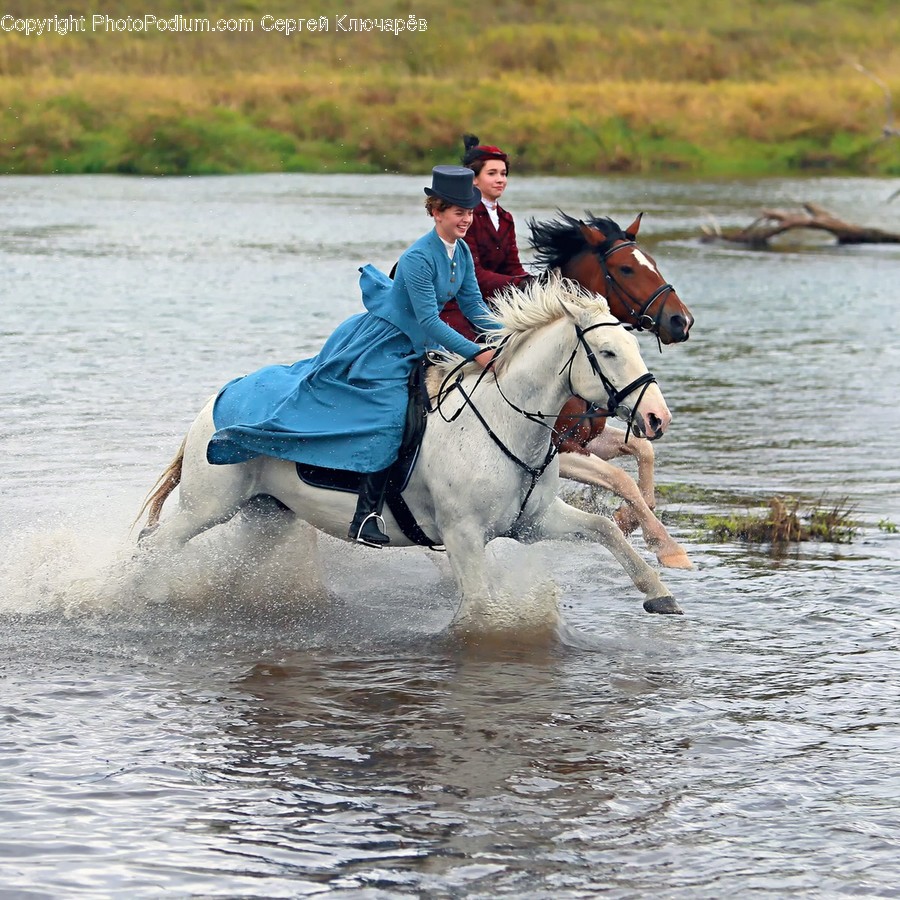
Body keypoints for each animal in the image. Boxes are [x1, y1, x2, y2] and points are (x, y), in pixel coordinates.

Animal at [137, 278, 684, 633]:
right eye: (607, 352)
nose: (657, 417)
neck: (501, 423)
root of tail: (214, 403)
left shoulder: (533, 521)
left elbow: (605, 529)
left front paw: (659, 591)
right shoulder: (463, 536)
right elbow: (479, 608)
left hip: (265, 516)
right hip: (208, 506)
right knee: (156, 545)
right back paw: (133, 597)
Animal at [528, 211, 694, 568]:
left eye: (653, 262)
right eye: (626, 268)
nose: (681, 321)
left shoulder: (586, 439)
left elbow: (643, 451)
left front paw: (627, 519)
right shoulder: (560, 449)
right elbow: (621, 479)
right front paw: (666, 546)